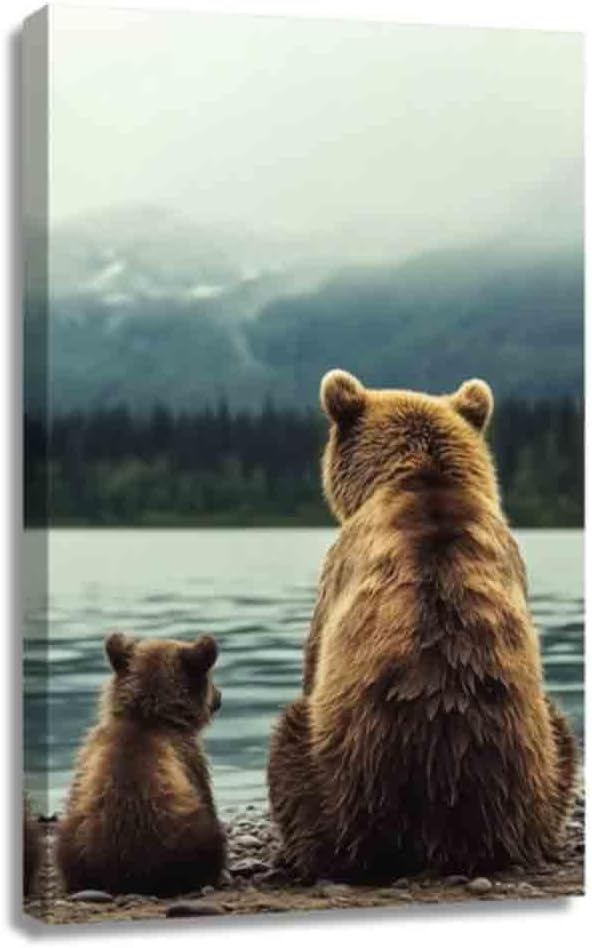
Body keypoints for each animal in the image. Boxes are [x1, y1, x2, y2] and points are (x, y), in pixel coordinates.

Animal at [56, 633, 226, 895]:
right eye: (211, 677)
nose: (220, 697)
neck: (146, 715)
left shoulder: (86, 754)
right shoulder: (190, 757)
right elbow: (205, 791)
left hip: (75, 838)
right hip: (188, 835)